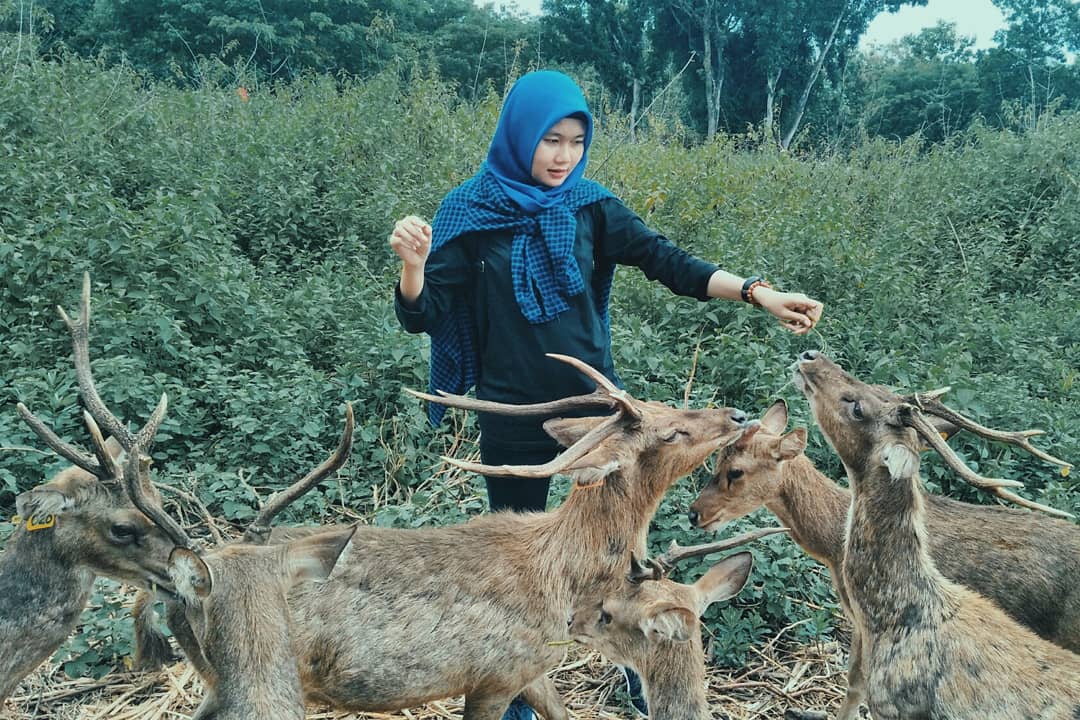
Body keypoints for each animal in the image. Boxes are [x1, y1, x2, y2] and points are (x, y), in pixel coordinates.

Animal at [126, 354, 751, 720]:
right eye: (670, 432)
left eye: (666, 402)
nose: (737, 414)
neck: (564, 582)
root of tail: (171, 587)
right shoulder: (494, 673)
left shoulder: (531, 671)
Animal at [686, 399, 1080, 720]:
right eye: (717, 457)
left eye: (735, 471)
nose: (694, 514)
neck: (833, 542)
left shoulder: (863, 619)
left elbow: (855, 682)